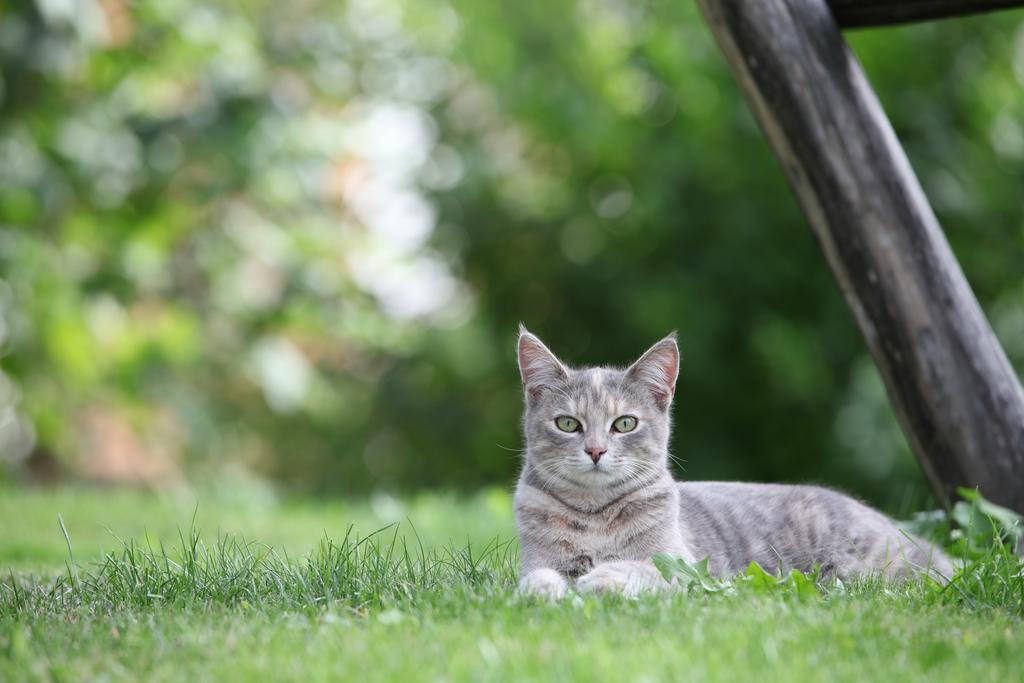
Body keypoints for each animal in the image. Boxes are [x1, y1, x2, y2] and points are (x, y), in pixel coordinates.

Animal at [516, 327, 954, 598]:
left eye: (624, 423)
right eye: (568, 423)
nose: (595, 450)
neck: (595, 518)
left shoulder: (685, 569)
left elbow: (642, 569)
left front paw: (600, 579)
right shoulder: (537, 558)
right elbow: (536, 576)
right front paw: (542, 590)